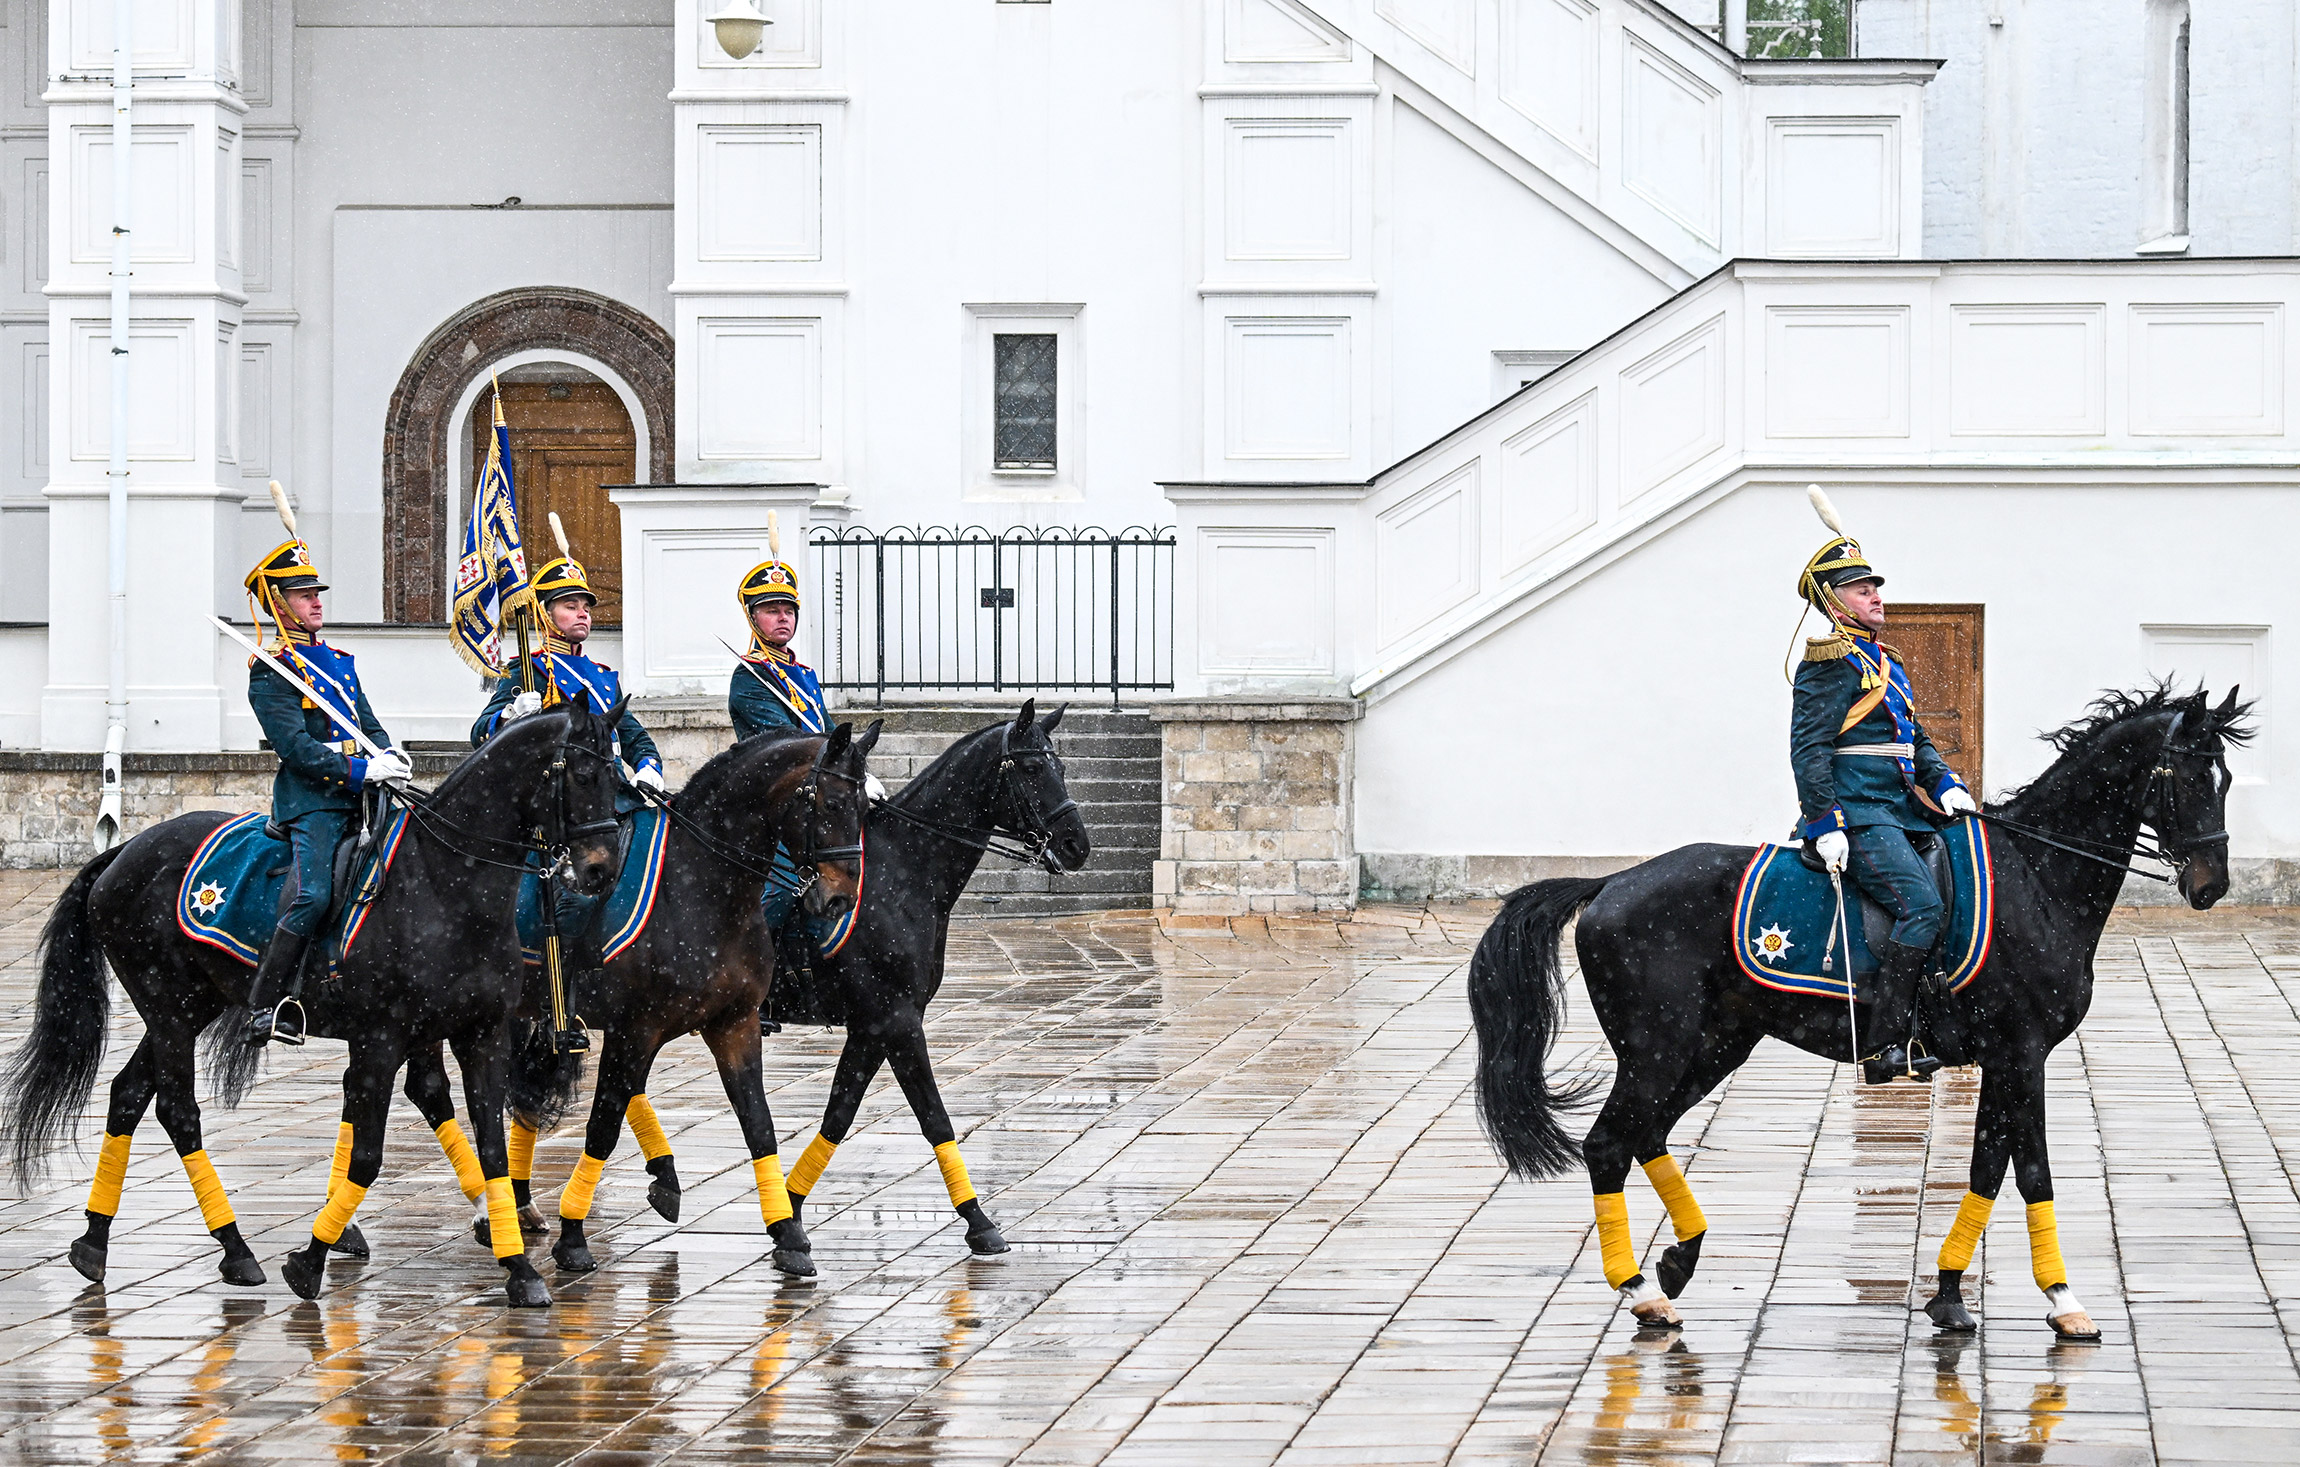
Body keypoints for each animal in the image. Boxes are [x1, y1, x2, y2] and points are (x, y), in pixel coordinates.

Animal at [2, 708, 630, 1315]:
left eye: (618, 777)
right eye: (582, 775)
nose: (601, 871)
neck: (446, 881)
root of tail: (123, 852)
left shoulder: (483, 1034)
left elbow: (493, 1149)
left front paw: (519, 1268)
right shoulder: (382, 1038)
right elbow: (369, 1156)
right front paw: (309, 1261)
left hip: (187, 1008)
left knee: (128, 1094)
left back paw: (94, 1243)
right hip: (170, 1011)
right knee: (178, 1112)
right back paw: (235, 1249)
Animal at [1472, 689, 2244, 1342]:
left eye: (2228, 778)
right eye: (2185, 774)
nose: (2211, 885)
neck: (2037, 873)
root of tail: (1611, 882)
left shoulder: (2004, 1058)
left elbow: (1986, 1170)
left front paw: (1949, 1294)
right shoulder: (2022, 1052)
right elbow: (2029, 1172)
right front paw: (2064, 1299)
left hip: (1713, 1045)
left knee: (1646, 1134)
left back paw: (1677, 1262)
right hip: (1658, 1049)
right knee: (1608, 1143)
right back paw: (1640, 1290)